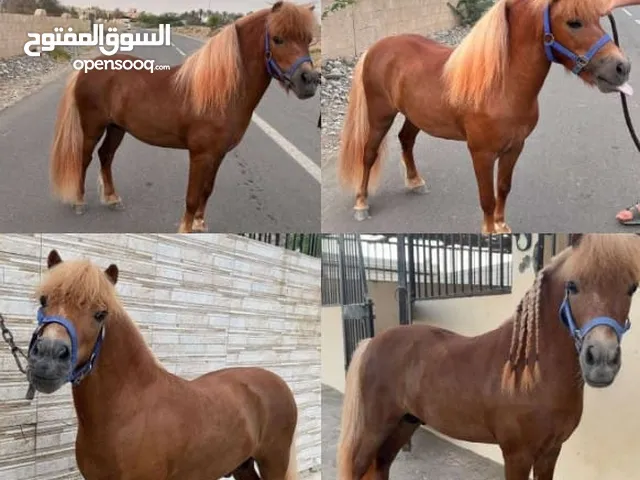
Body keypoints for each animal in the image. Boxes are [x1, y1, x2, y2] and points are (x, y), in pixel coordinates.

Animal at [26, 249, 299, 480]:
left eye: (100, 314)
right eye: (43, 300)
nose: (48, 357)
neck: (129, 409)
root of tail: (278, 382)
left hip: (274, 462)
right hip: (242, 465)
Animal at [50, 1, 320, 233]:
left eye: (308, 39)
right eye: (278, 39)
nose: (309, 81)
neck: (219, 91)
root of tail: (87, 69)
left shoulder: (218, 154)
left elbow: (207, 191)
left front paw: (200, 224)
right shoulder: (199, 155)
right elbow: (191, 196)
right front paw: (186, 229)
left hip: (116, 127)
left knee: (106, 156)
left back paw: (112, 198)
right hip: (92, 127)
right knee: (84, 158)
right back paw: (79, 203)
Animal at [337, 0, 634, 233]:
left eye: (598, 19)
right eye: (574, 22)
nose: (622, 67)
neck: (501, 88)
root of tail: (375, 48)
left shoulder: (514, 148)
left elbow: (503, 187)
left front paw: (502, 226)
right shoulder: (481, 153)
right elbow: (487, 197)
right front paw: (490, 231)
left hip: (415, 116)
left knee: (406, 140)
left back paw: (415, 182)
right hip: (380, 116)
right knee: (368, 154)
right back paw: (361, 203)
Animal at [337, 233, 640, 480]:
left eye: (631, 288)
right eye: (573, 286)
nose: (601, 360)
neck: (530, 373)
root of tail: (373, 341)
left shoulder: (551, 452)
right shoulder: (517, 455)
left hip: (403, 424)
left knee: (381, 466)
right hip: (374, 429)